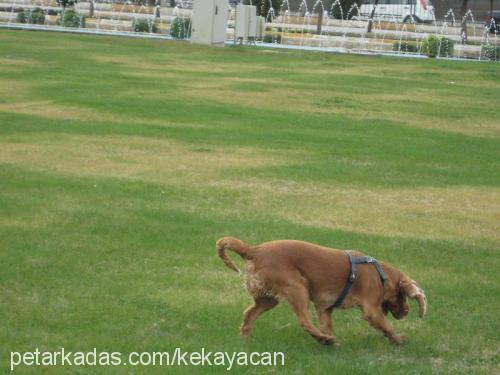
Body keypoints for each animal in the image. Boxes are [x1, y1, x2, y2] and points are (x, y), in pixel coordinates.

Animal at [217, 238, 428, 346]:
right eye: (403, 296)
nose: (406, 312)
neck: (380, 274)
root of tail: (254, 250)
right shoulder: (371, 309)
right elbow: (386, 326)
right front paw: (398, 339)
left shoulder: (324, 308)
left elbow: (327, 324)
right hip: (297, 287)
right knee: (303, 320)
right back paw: (322, 339)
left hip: (268, 298)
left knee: (249, 314)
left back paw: (244, 340)